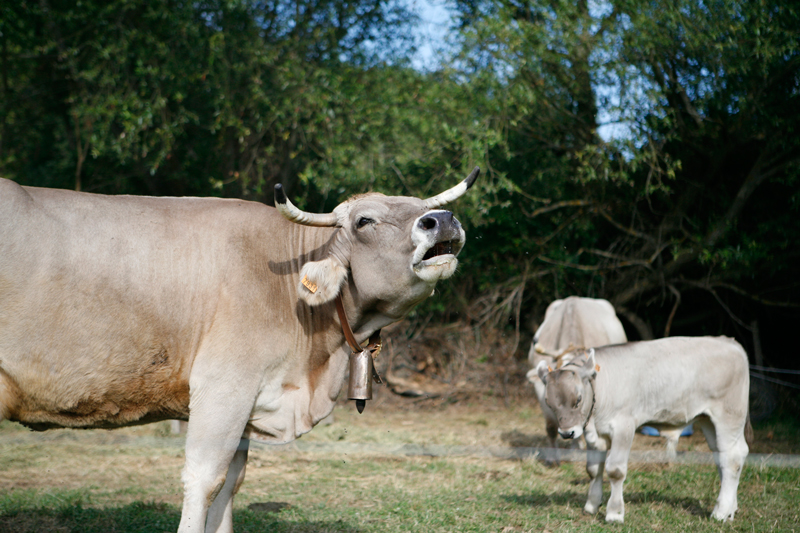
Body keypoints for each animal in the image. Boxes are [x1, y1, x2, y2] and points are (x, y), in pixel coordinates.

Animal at [0, 167, 476, 532]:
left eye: (419, 204)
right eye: (364, 221)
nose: (441, 218)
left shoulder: (249, 400)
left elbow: (231, 483)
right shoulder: (224, 387)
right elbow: (205, 480)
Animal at [536, 334, 752, 520]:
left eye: (578, 399)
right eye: (548, 402)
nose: (567, 433)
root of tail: (729, 341)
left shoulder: (624, 426)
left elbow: (615, 470)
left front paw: (614, 514)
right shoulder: (596, 434)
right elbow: (593, 469)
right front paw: (591, 505)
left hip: (729, 415)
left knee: (733, 457)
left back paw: (720, 512)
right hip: (707, 420)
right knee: (722, 456)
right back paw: (730, 508)